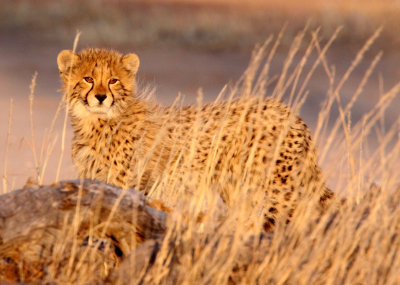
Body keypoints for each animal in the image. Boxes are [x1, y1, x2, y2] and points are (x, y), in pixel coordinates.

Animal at [57, 47, 334, 230]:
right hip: (238, 188)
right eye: (88, 79)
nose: (101, 97)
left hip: (276, 189)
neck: (97, 121)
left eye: (113, 80)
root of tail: (290, 112)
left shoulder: (125, 183)